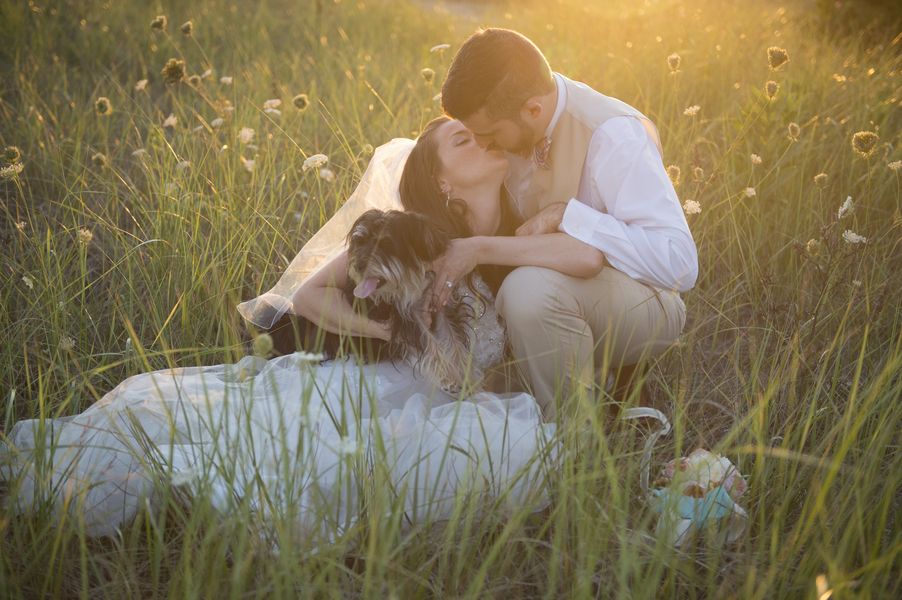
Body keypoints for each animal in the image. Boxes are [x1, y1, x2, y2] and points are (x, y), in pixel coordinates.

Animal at [266, 211, 494, 394]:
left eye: (385, 244)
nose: (357, 265)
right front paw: (450, 378)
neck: (413, 280)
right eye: (360, 242)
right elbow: (431, 345)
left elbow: (453, 343)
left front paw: (470, 379)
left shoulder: (440, 310)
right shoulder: (406, 320)